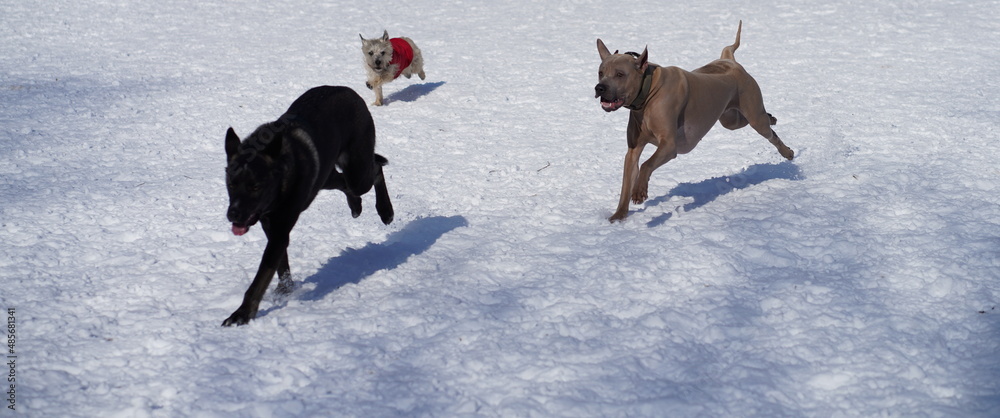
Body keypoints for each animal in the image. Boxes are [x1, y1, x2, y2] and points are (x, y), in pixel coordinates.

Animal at [222, 86, 394, 326]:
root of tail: (349, 91)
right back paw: (355, 206)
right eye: (231, 184)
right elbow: (281, 264)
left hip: (357, 171)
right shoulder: (271, 225)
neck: (282, 176)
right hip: (328, 175)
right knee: (345, 182)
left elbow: (261, 277)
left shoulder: (280, 228)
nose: (233, 214)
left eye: (255, 187)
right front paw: (285, 290)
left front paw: (243, 314)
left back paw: (386, 210)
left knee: (376, 168)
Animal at [595, 21, 794, 222]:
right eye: (600, 73)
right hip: (730, 119)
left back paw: (787, 152)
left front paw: (639, 192)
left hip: (753, 115)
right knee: (755, 121)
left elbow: (646, 165)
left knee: (769, 132)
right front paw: (618, 216)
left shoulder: (669, 145)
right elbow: (628, 179)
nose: (599, 88)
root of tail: (729, 60)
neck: (648, 93)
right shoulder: (633, 149)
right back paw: (772, 118)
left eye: (620, 74)